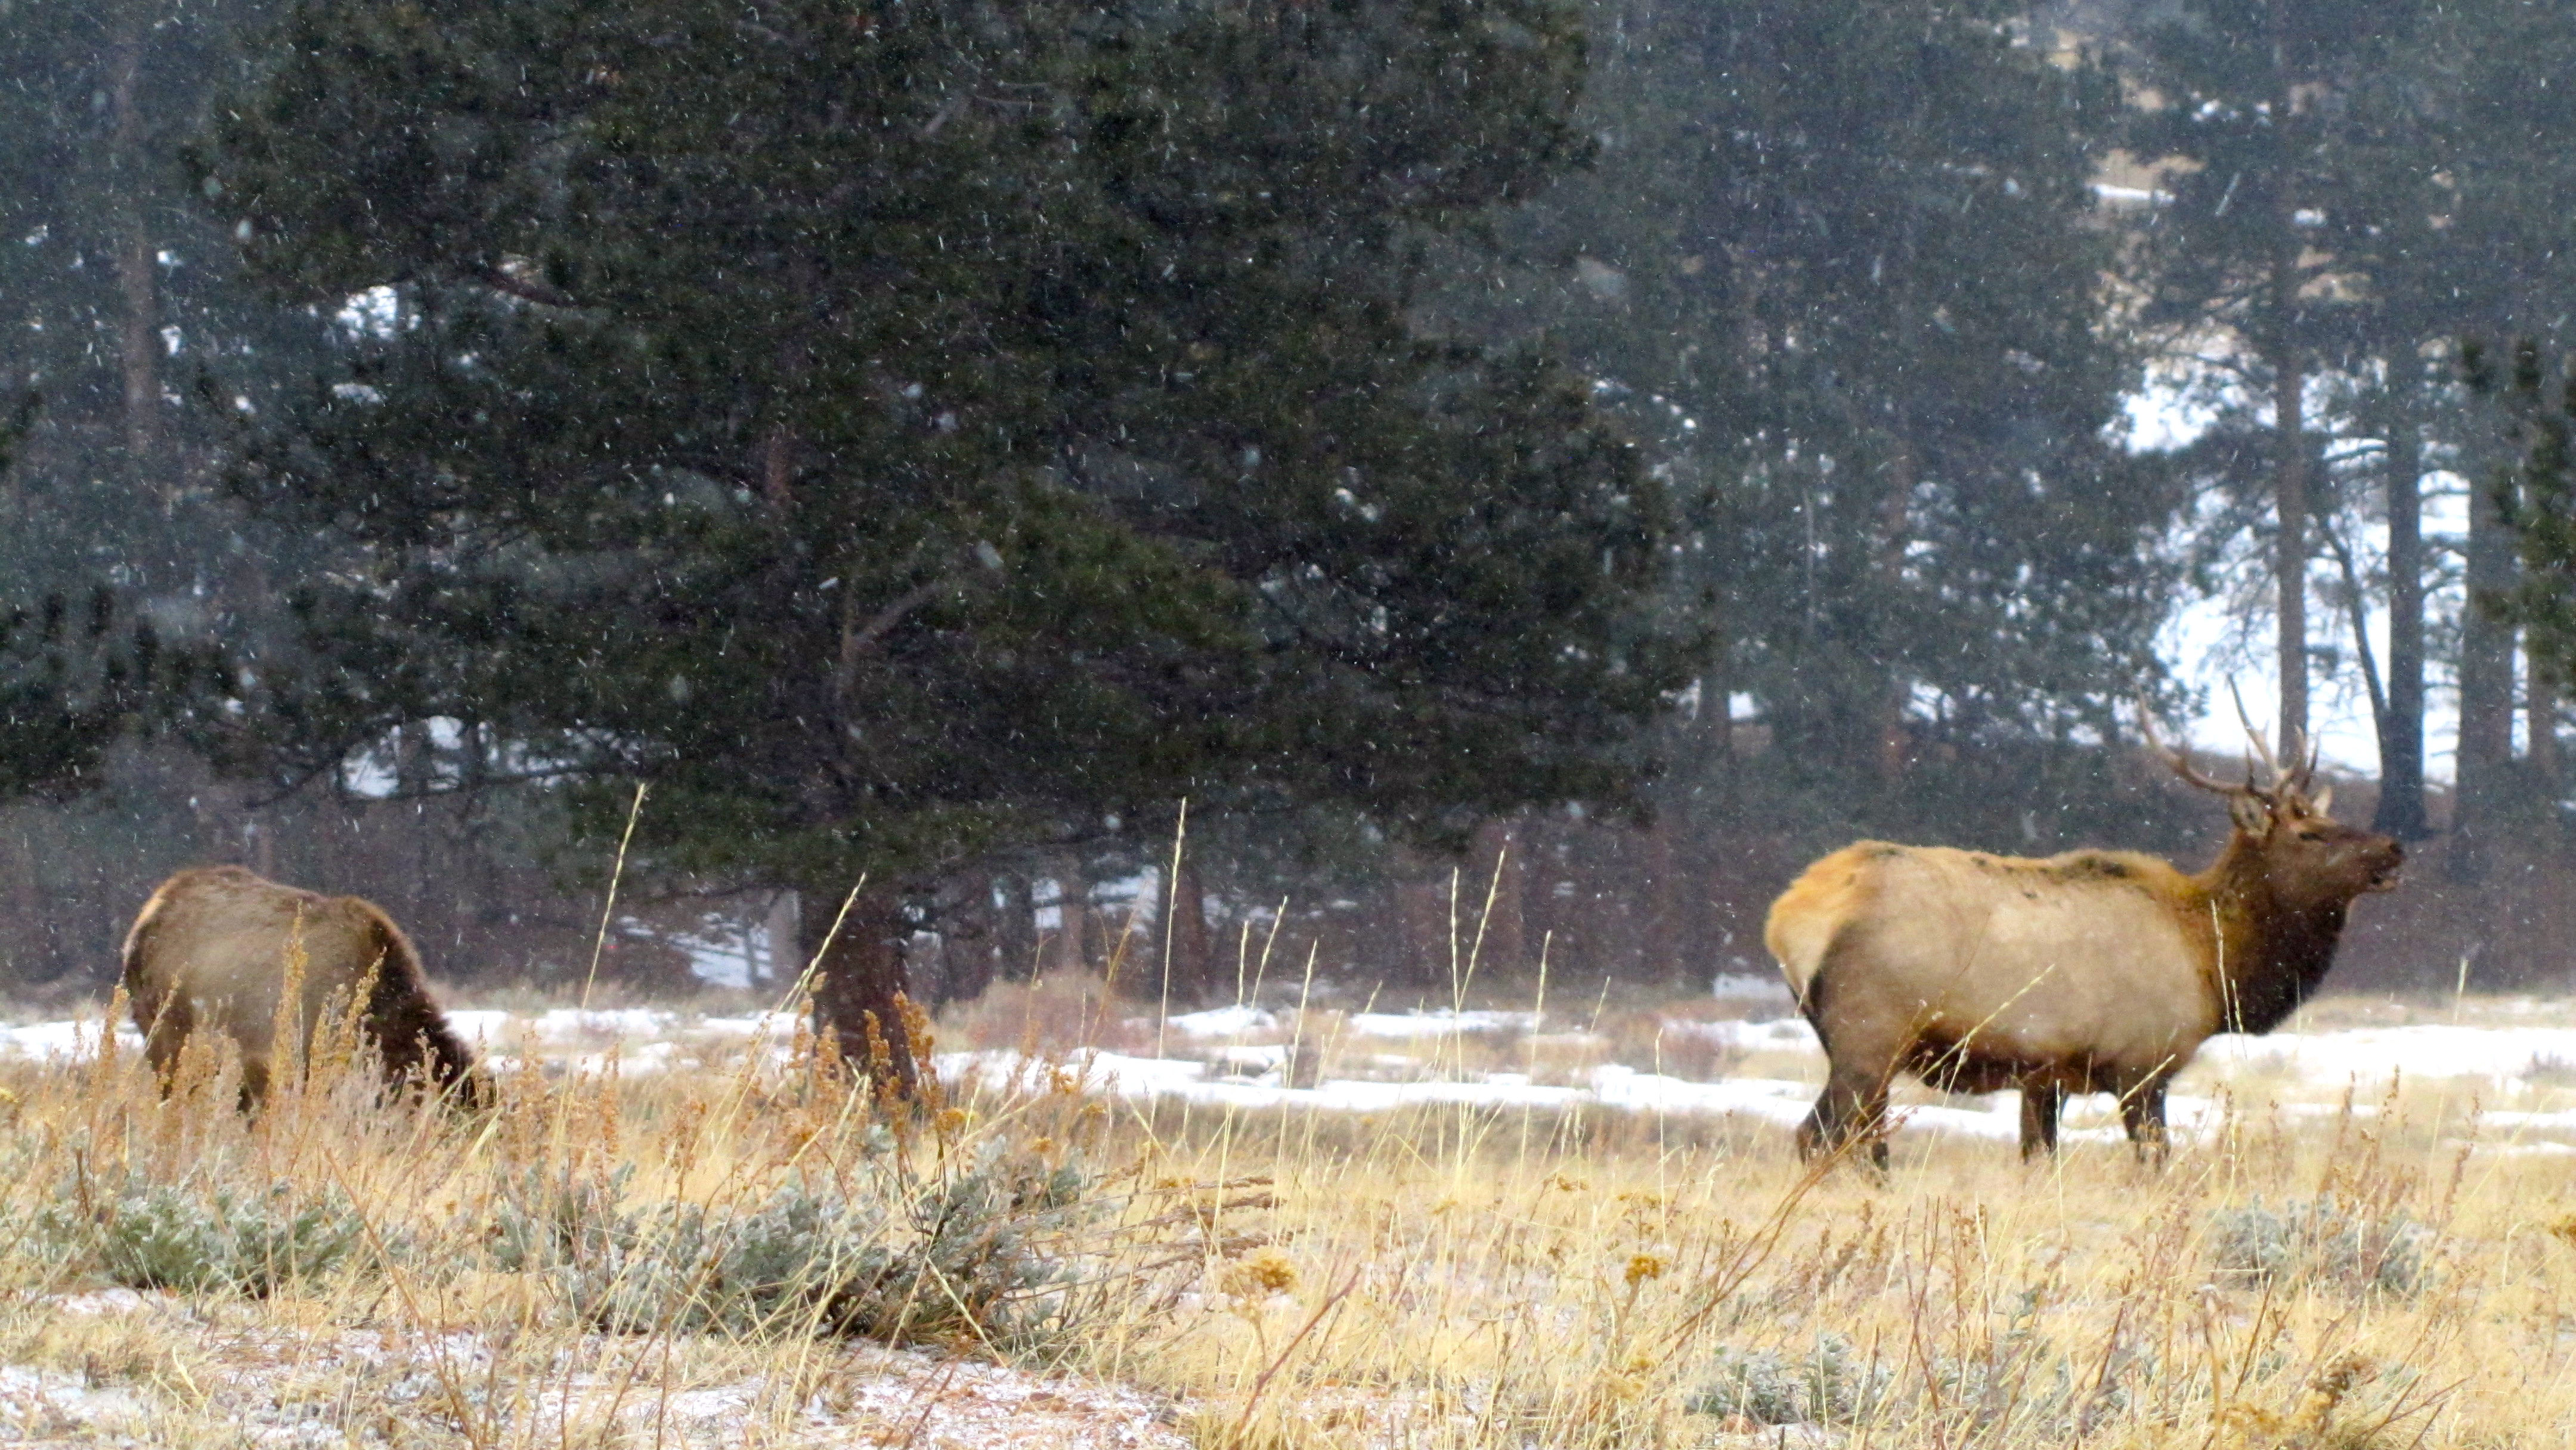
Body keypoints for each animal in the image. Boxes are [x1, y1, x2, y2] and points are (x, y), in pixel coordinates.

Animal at [1764, 702, 2401, 1168]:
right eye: (2309, 833)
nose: (2394, 849)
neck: (2213, 962)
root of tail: (1787, 918)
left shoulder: (2047, 1075)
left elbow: (2039, 1157)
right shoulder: (2144, 1063)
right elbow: (2154, 1160)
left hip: (1856, 1044)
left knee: (1865, 1145)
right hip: (1870, 1033)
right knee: (1819, 1137)